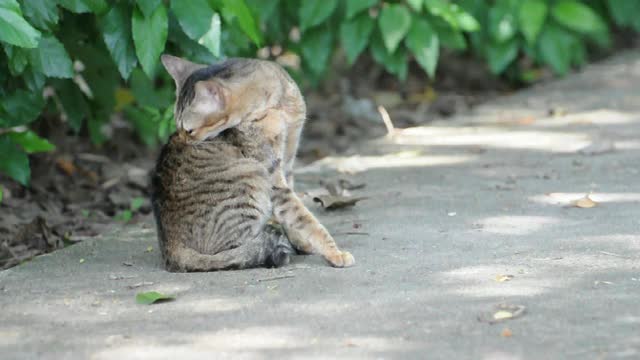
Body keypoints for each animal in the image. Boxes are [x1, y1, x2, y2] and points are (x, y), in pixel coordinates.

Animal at [152, 54, 358, 272]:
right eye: (179, 127)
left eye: (188, 130)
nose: (181, 139)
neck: (278, 107)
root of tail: (170, 248)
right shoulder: (273, 175)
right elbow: (305, 219)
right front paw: (335, 253)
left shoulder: (288, 161)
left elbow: (294, 217)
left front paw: (302, 243)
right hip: (252, 174)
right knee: (231, 253)